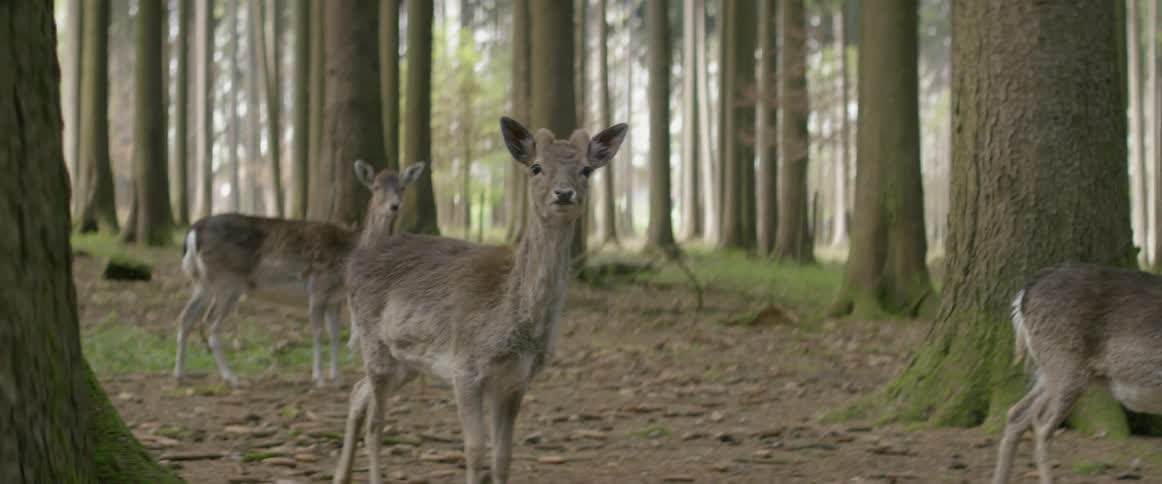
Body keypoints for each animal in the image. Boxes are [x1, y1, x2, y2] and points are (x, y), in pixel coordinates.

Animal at [173, 161, 425, 388]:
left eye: (402, 186)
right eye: (375, 186)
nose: (395, 206)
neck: (349, 255)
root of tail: (193, 232)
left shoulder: (335, 297)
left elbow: (335, 334)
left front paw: (337, 379)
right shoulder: (318, 286)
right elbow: (318, 332)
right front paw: (319, 379)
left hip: (203, 282)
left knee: (186, 317)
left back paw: (181, 374)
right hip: (227, 281)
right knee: (210, 322)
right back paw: (232, 378)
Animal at [330, 117, 627, 484]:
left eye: (586, 169)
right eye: (536, 167)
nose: (563, 193)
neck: (511, 326)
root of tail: (352, 264)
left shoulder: (516, 381)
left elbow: (502, 458)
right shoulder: (465, 368)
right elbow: (474, 451)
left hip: (407, 362)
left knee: (358, 392)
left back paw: (339, 476)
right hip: (375, 346)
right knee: (376, 423)